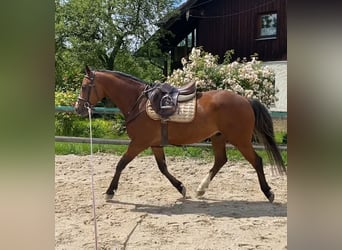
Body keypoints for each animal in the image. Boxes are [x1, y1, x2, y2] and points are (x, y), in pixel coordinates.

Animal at [75, 66, 286, 203]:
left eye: (85, 86)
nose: (78, 108)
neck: (139, 103)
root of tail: (246, 100)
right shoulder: (155, 144)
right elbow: (162, 167)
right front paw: (181, 188)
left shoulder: (138, 143)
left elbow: (121, 164)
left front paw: (110, 191)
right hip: (218, 137)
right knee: (220, 160)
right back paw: (201, 189)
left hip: (240, 140)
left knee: (256, 161)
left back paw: (268, 192)